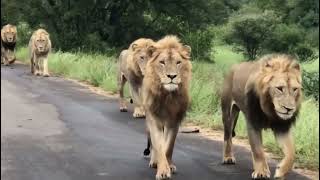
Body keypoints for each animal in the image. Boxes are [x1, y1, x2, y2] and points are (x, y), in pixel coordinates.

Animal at [143, 35, 192, 180]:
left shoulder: (174, 122)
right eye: (162, 62)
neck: (168, 96)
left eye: (178, 62)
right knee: (153, 143)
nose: (171, 76)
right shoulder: (154, 120)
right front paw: (163, 171)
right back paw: (154, 161)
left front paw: (169, 165)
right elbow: (158, 145)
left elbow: (168, 146)